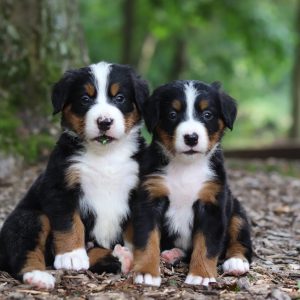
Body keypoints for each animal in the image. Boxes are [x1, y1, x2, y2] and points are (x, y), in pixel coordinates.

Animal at [0, 61, 149, 288]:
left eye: (120, 98)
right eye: (85, 99)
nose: (104, 121)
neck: (106, 155)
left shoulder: (137, 188)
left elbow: (135, 226)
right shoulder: (61, 186)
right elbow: (69, 223)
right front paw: (71, 255)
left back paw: (123, 257)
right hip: (30, 217)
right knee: (24, 252)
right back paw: (39, 276)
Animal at [132, 79, 252, 286]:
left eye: (207, 114)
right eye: (172, 114)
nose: (191, 138)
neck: (186, 166)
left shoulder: (212, 204)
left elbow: (206, 244)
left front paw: (201, 274)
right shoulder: (150, 199)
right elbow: (147, 239)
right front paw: (147, 272)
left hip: (237, 210)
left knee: (240, 236)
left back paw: (236, 262)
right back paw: (171, 254)